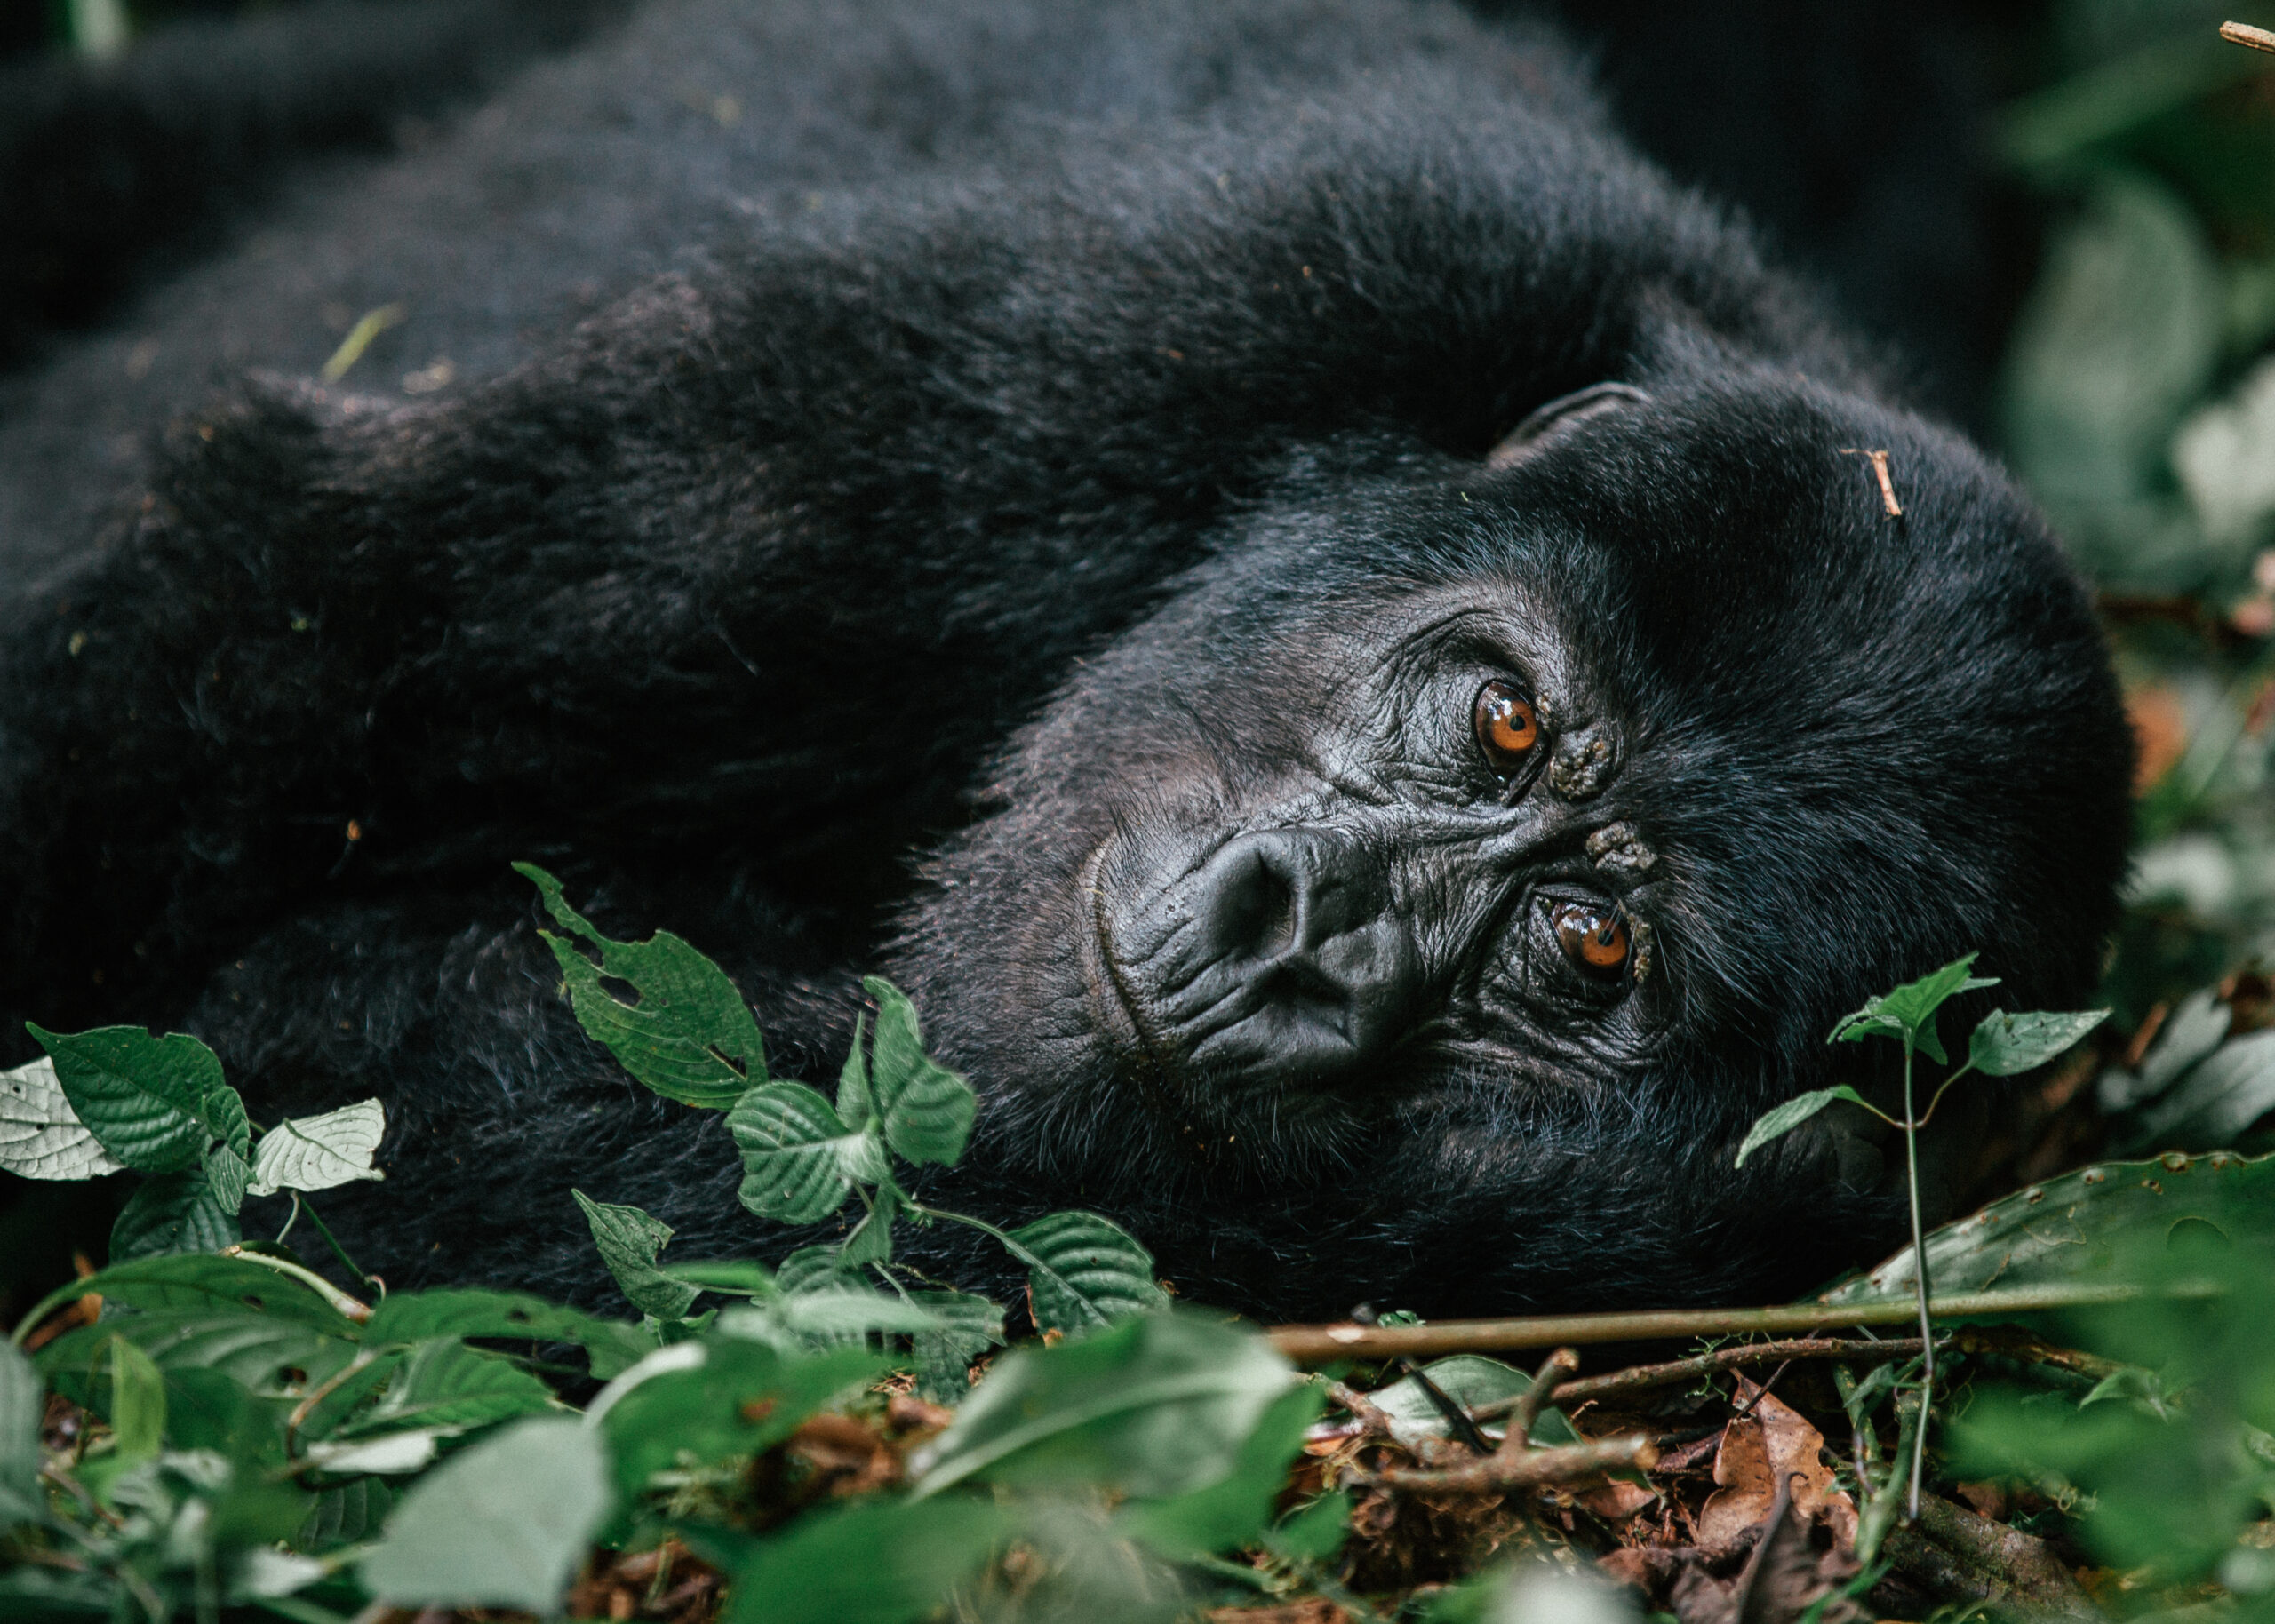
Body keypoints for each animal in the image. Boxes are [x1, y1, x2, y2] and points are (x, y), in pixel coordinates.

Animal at [0, 0, 2132, 1320]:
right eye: (1506, 716)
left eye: (1591, 952)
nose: (1294, 928)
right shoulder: (1247, 291)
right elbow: (283, 619)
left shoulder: (1728, 1228)